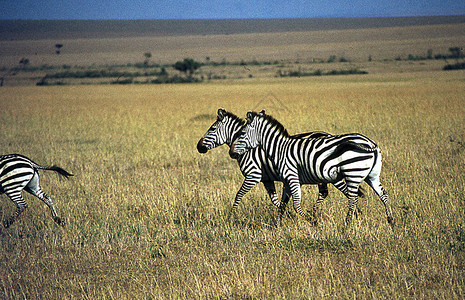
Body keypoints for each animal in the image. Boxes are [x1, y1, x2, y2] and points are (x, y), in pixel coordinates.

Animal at [196, 108, 362, 218]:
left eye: (212, 128)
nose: (198, 147)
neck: (247, 148)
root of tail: (328, 134)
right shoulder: (267, 179)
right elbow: (276, 200)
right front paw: (285, 213)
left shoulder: (253, 175)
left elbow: (238, 195)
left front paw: (232, 215)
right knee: (325, 192)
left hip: (330, 174)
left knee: (346, 191)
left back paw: (356, 212)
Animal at [228, 110, 392, 227]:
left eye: (241, 133)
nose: (231, 152)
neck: (279, 149)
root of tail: (371, 143)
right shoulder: (287, 180)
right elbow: (283, 203)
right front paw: (278, 225)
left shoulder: (292, 177)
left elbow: (295, 204)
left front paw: (312, 221)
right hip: (372, 176)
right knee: (383, 195)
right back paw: (391, 221)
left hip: (353, 174)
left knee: (353, 198)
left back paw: (347, 225)